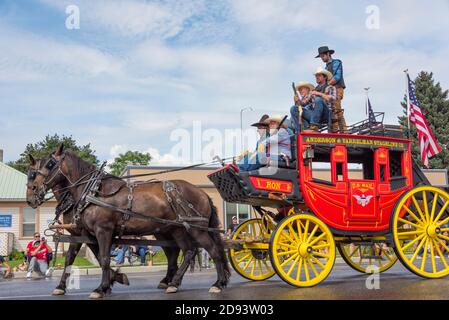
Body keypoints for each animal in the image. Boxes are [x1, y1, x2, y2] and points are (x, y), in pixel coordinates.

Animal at [26, 146, 229, 300]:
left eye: (50, 164)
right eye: (30, 172)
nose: (31, 194)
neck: (90, 193)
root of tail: (203, 193)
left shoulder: (103, 230)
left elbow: (104, 258)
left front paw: (102, 288)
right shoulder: (82, 233)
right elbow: (73, 258)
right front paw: (62, 287)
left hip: (196, 228)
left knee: (213, 250)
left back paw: (217, 283)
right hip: (174, 230)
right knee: (185, 251)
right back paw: (172, 282)